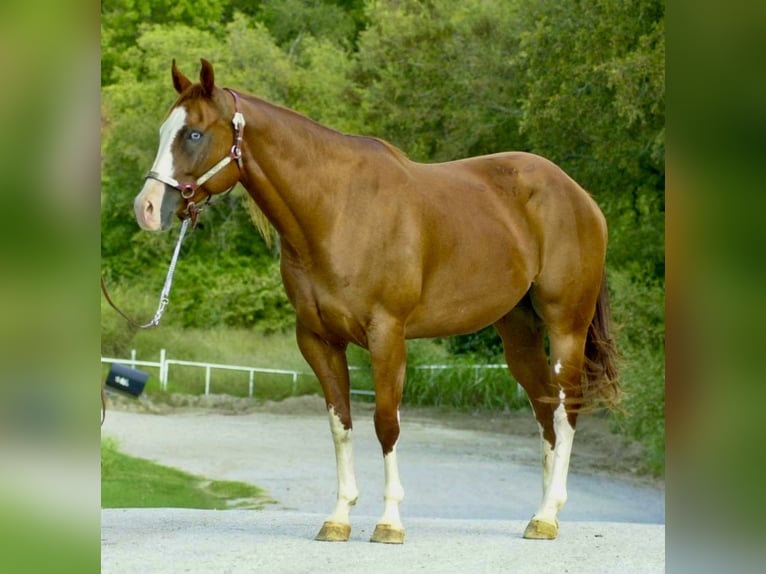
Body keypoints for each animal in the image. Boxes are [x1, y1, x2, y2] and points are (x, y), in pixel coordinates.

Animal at [133, 59, 621, 544]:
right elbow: (341, 425)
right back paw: (539, 514)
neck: (336, 211)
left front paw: (389, 522)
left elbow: (386, 423)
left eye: (194, 134)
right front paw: (339, 517)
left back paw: (549, 514)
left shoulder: (387, 335)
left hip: (566, 327)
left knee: (566, 408)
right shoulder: (317, 339)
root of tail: (580, 197)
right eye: (164, 130)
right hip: (518, 331)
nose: (147, 207)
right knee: (544, 405)